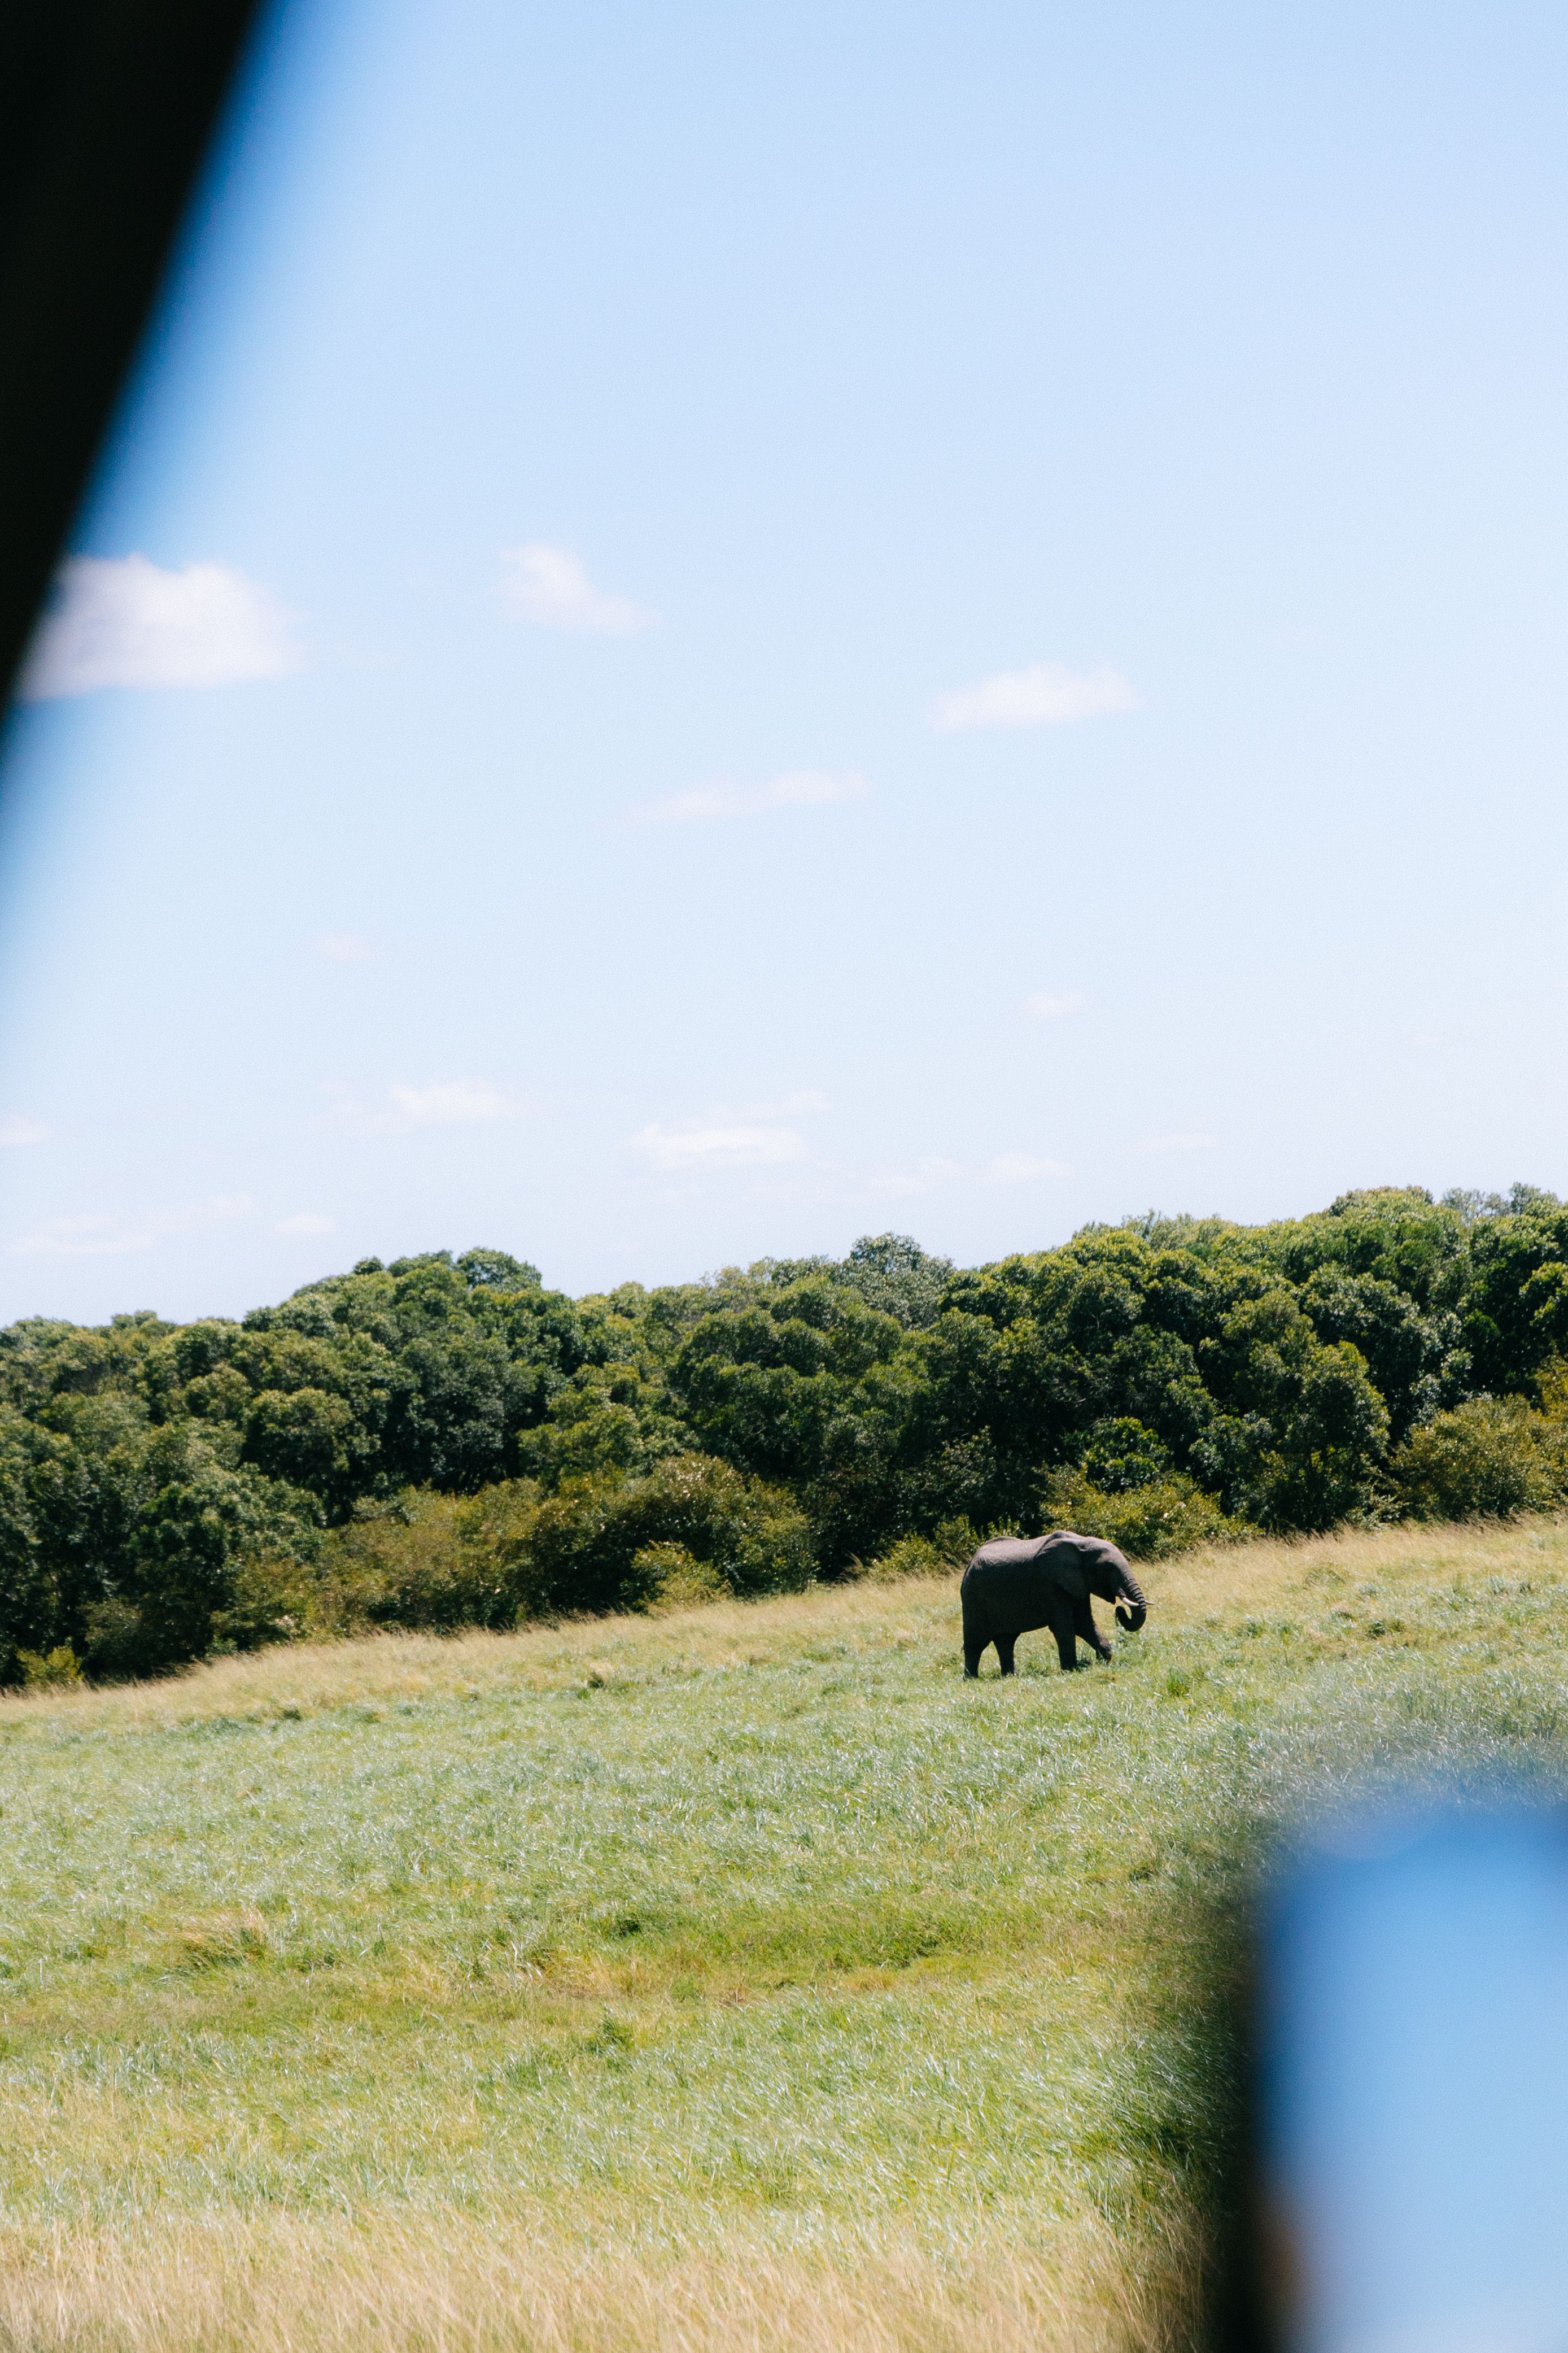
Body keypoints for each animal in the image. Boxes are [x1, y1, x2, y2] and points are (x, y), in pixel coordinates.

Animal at [961, 1531, 1148, 1676]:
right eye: (1107, 1569)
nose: (1119, 1610)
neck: (1081, 1543)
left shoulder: (1078, 1583)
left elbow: (1084, 1623)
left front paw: (1104, 1660)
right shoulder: (1048, 1582)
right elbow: (1064, 1626)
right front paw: (1071, 1670)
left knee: (1006, 1640)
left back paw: (1009, 1676)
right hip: (972, 1597)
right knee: (976, 1642)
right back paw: (972, 1679)